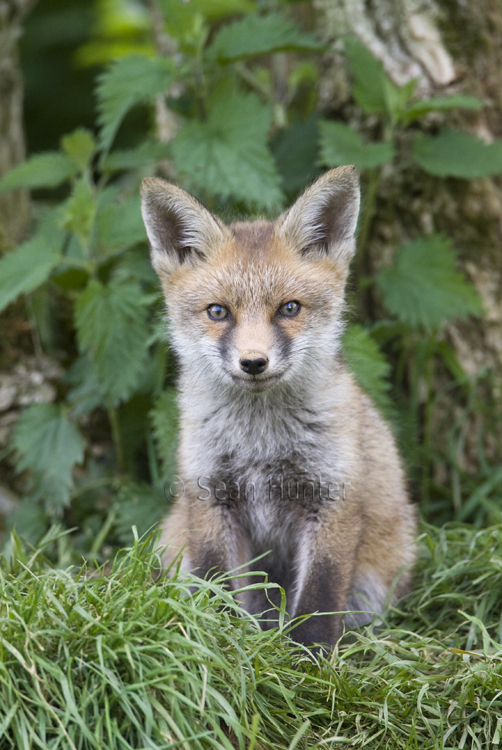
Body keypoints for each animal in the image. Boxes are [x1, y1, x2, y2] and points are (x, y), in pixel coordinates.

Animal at [140, 167, 416, 648]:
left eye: (289, 308)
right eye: (218, 312)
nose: (253, 362)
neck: (260, 441)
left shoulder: (332, 497)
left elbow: (320, 594)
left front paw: (309, 656)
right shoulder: (210, 494)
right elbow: (215, 583)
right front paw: (215, 641)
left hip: (377, 579)